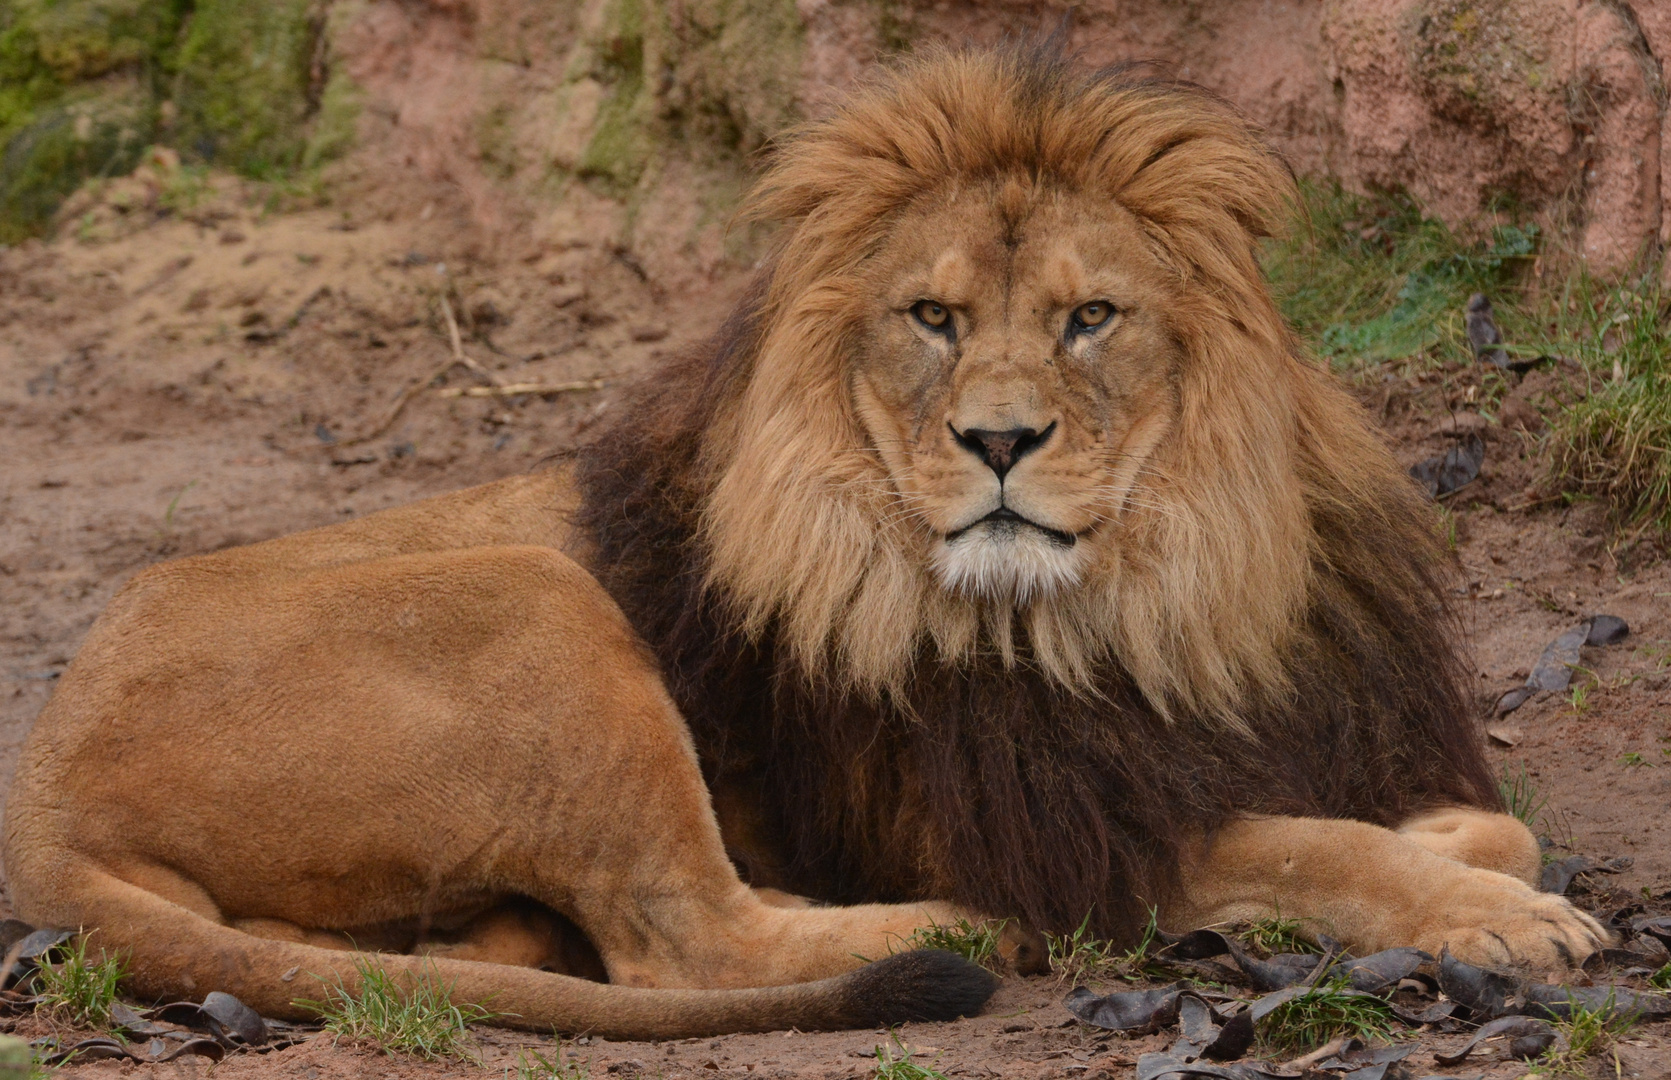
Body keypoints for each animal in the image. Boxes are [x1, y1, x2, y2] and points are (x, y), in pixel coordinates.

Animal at [3, 46, 1604, 1043]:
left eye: (1091, 317)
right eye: (932, 318)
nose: (1000, 443)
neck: (1150, 592)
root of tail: (44, 791)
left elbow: (1465, 818)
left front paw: (1467, 855)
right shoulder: (1057, 821)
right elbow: (1320, 848)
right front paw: (1506, 923)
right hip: (536, 601)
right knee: (689, 938)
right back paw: (950, 936)